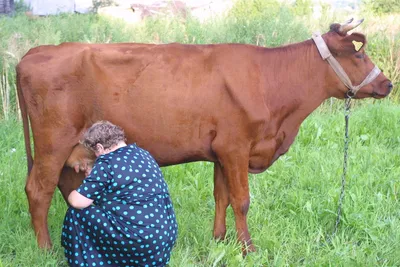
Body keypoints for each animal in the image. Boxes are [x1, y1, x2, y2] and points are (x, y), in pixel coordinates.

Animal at [16, 18, 394, 253]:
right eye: (359, 53)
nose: (388, 83)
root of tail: (35, 52)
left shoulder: (221, 150)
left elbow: (221, 197)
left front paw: (219, 240)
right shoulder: (236, 146)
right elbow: (242, 200)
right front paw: (248, 248)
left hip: (69, 152)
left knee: (65, 188)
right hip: (53, 143)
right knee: (38, 190)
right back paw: (46, 250)